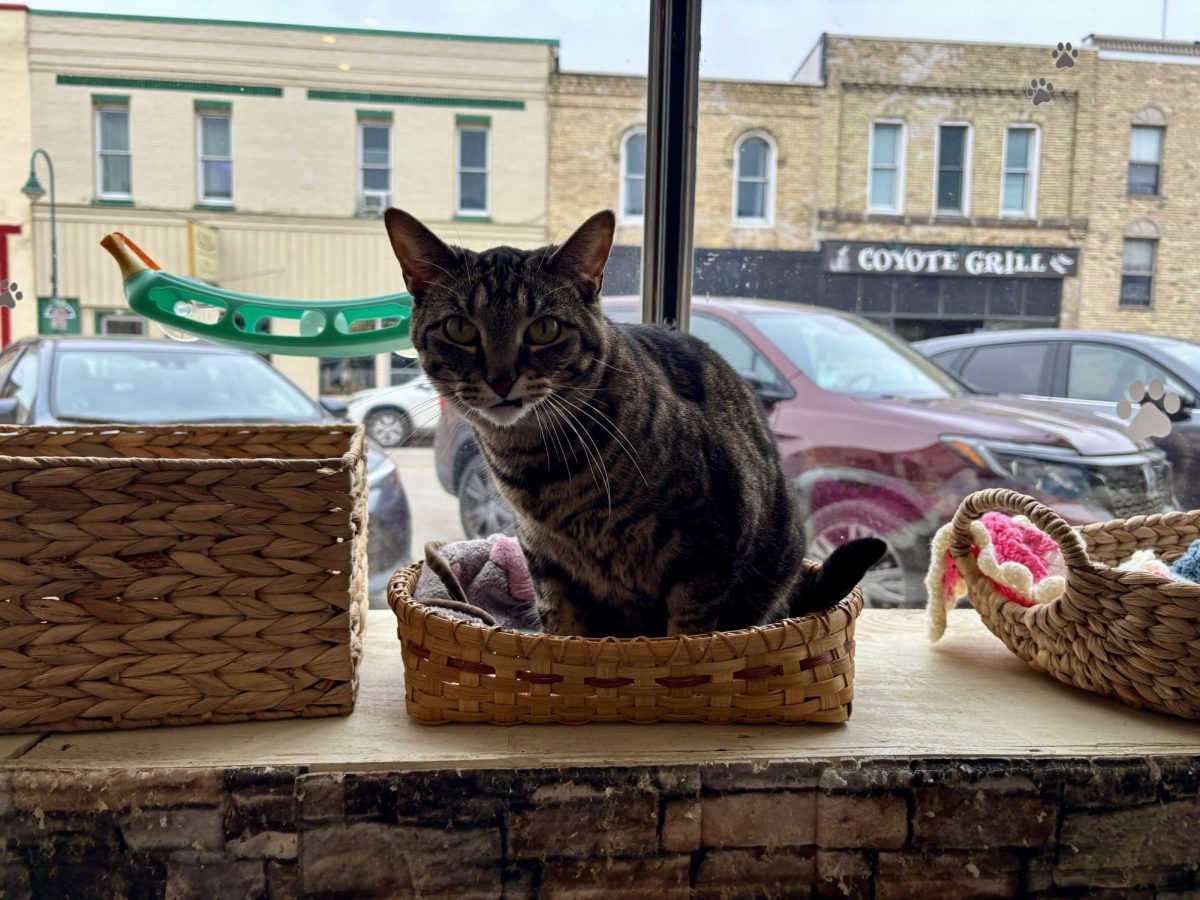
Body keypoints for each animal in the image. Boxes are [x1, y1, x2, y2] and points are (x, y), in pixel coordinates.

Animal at [386, 207, 892, 638]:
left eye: (545, 329)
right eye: (460, 329)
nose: (501, 379)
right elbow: (563, 631)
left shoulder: (704, 550)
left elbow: (687, 635)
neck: (538, 466)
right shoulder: (547, 562)